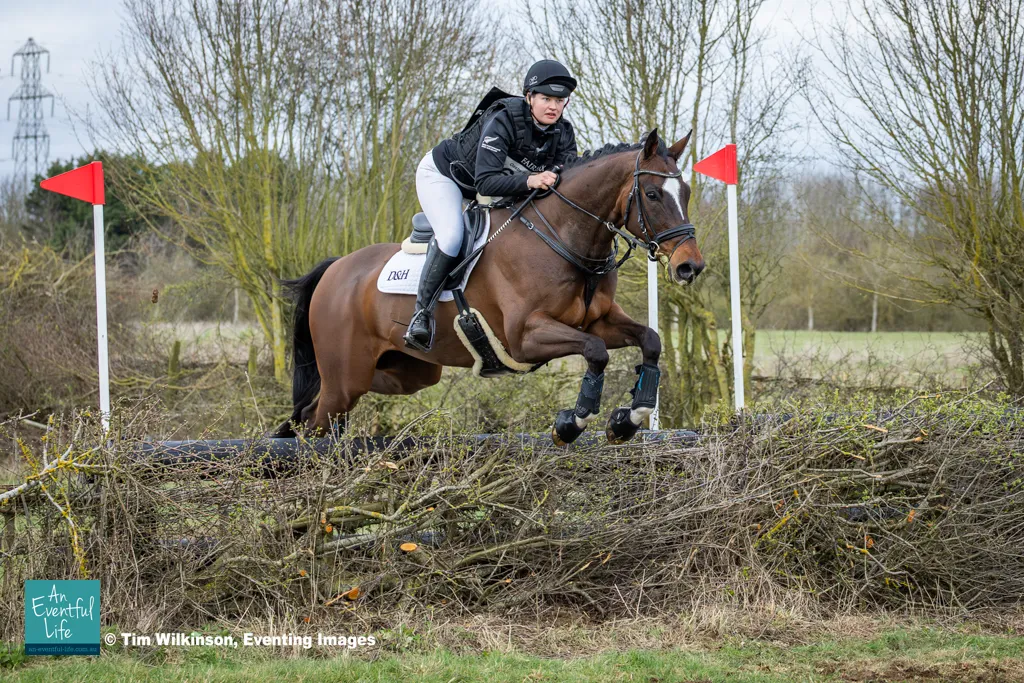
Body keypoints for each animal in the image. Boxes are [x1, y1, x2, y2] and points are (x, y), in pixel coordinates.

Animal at [273, 128, 705, 445]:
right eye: (652, 194)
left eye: (685, 193)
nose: (690, 266)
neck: (562, 235)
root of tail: (336, 268)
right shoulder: (525, 336)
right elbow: (596, 352)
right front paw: (571, 424)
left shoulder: (597, 321)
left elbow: (650, 340)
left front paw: (628, 419)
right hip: (346, 376)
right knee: (316, 417)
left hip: (404, 371)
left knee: (321, 409)